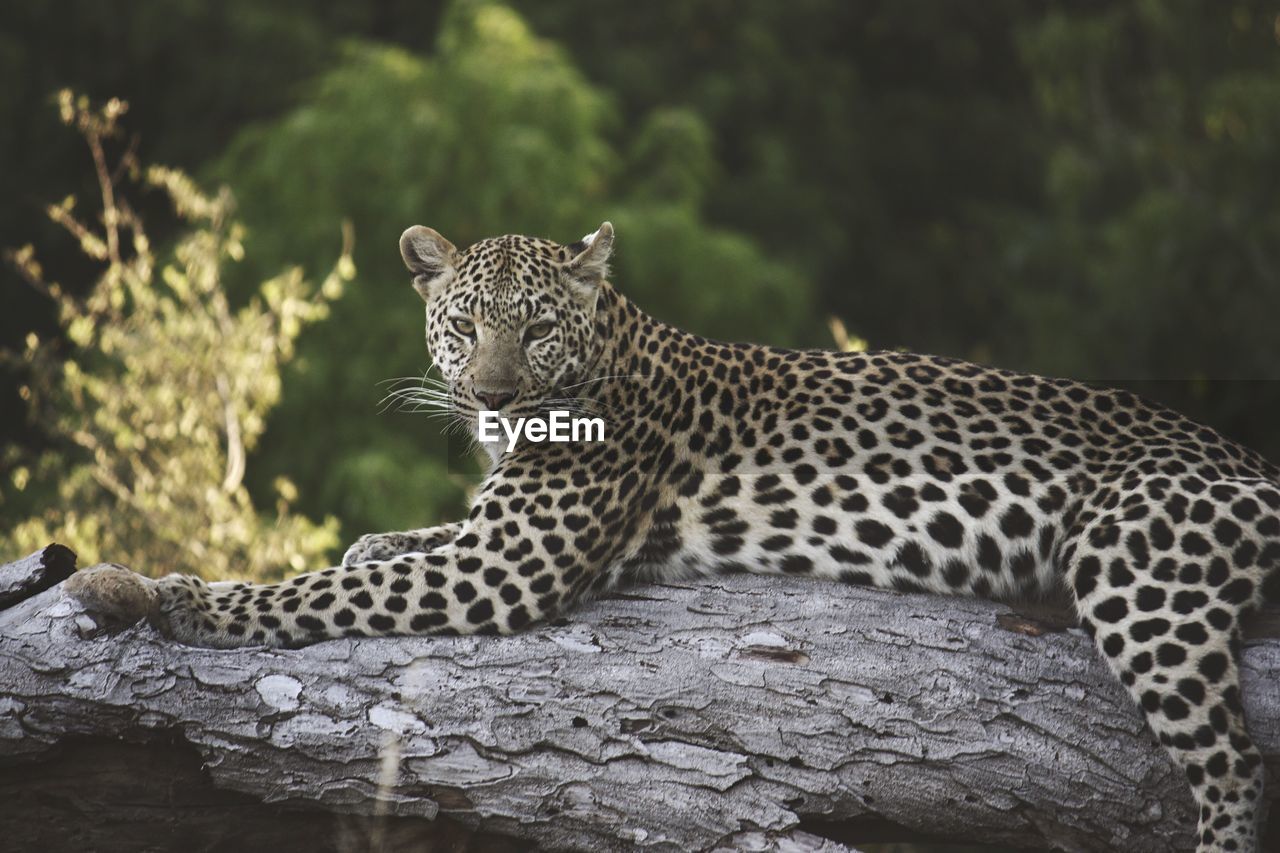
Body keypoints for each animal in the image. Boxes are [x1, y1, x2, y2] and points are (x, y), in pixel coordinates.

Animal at [72, 220, 1280, 850]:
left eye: (536, 329)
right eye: (464, 325)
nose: (495, 397)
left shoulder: (503, 564)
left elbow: (308, 593)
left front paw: (181, 597)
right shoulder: (485, 533)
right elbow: (386, 547)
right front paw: (363, 542)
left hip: (1138, 566)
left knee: (1231, 765)